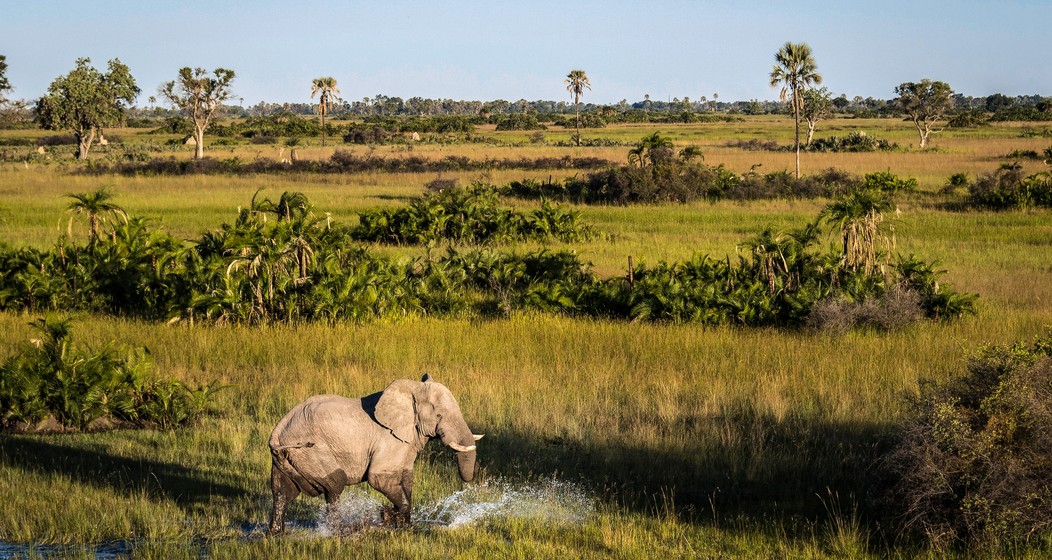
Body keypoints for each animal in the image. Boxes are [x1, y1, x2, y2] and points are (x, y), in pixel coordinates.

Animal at [267, 374, 481, 530]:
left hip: (288, 458)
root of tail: (276, 433)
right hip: (312, 452)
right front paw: (388, 516)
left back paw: (276, 534)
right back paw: (339, 532)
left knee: (282, 492)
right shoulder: (389, 439)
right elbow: (378, 477)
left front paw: (403, 525)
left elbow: (406, 477)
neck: (410, 390)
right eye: (439, 415)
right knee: (335, 485)